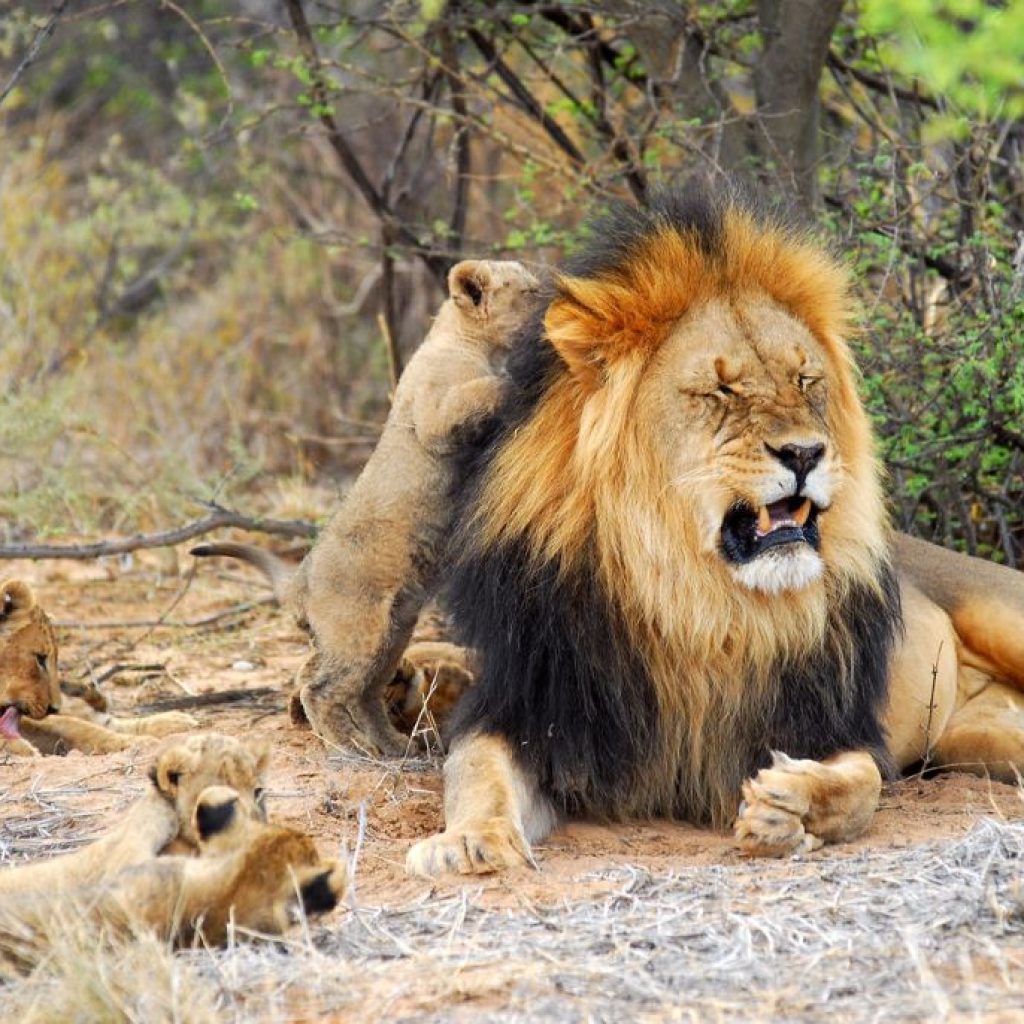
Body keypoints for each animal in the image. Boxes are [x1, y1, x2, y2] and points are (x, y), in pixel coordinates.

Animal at [0, 579, 197, 757]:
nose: (53, 708)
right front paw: (22, 748)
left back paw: (176, 721)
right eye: (40, 659)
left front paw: (138, 743)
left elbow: (78, 727)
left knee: (99, 719)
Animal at [193, 258, 540, 755]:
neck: (470, 343)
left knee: (364, 692)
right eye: (530, 292)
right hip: (358, 627)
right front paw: (515, 381)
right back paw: (351, 749)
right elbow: (481, 393)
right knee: (320, 687)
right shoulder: (434, 411)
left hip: (392, 631)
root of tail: (299, 580)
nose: (553, 300)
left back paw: (393, 746)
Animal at [404, 186, 1024, 877]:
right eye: (721, 389)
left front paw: (789, 807)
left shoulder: (831, 725)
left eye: (806, 380)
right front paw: (468, 840)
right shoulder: (528, 708)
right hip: (978, 741)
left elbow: (860, 783)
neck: (699, 605)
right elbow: (476, 771)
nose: (806, 452)